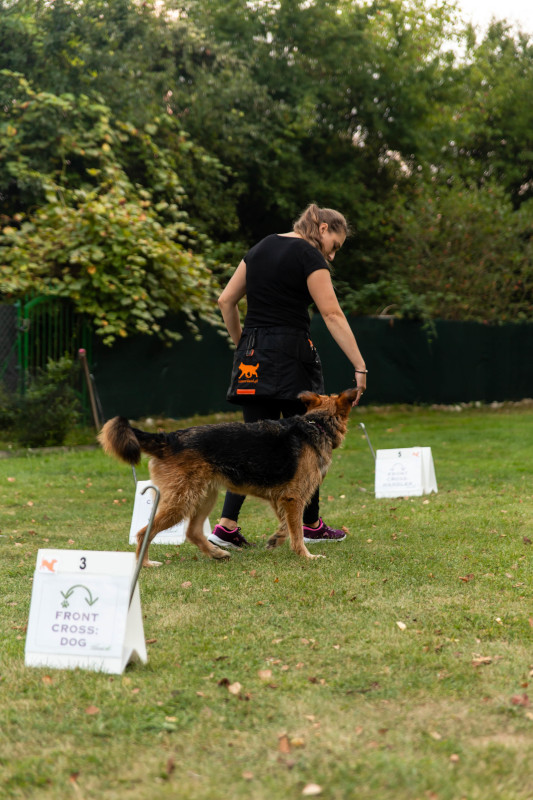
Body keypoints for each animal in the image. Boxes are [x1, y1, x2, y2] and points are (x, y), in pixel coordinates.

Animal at [98, 388, 357, 564]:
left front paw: (276, 539)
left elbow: (287, 525)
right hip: (181, 502)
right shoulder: (294, 498)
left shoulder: (282, 499)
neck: (317, 424)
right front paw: (306, 556)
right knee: (144, 532)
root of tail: (169, 438)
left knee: (193, 532)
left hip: (204, 498)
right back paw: (146, 564)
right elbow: (298, 533)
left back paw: (216, 553)